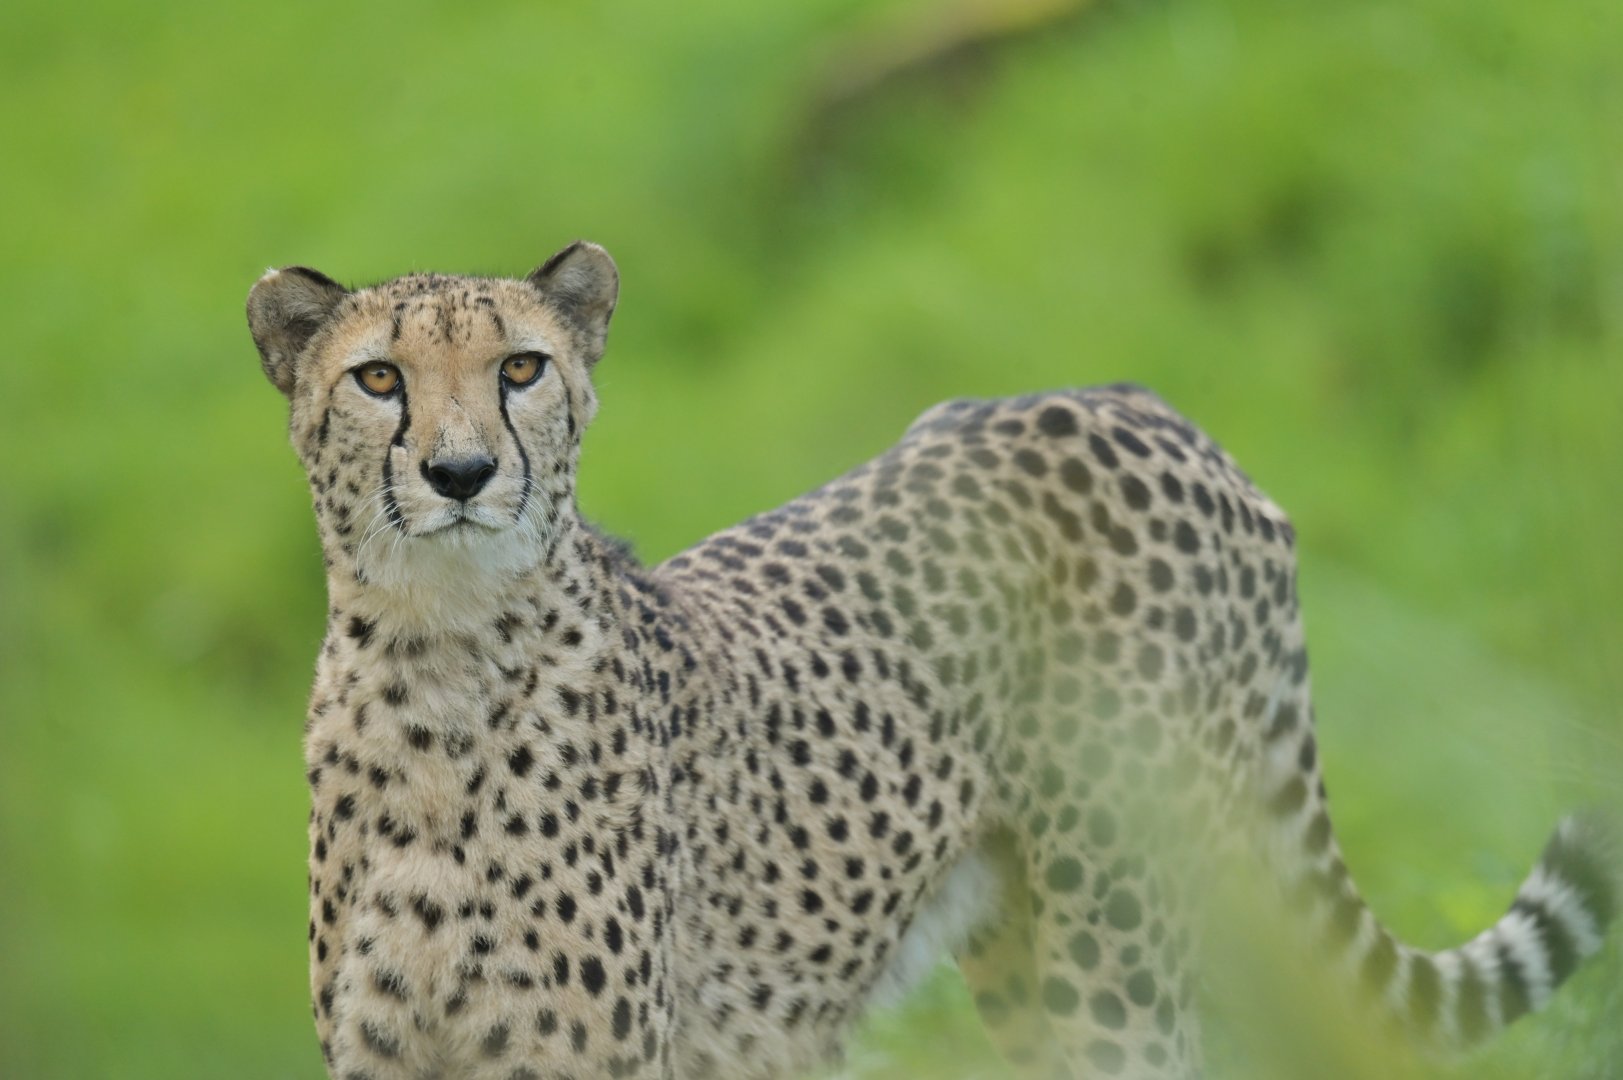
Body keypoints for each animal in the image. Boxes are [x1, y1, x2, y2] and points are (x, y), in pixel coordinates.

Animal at [248, 241, 1618, 1080]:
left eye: (521, 367)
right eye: (380, 379)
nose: (462, 471)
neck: (437, 667)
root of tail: (1134, 402)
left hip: (1118, 951)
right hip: (1024, 950)